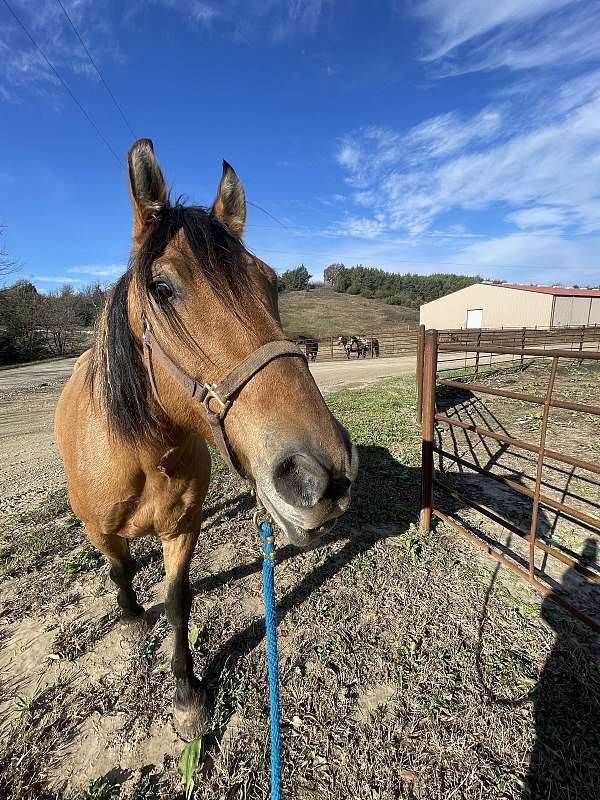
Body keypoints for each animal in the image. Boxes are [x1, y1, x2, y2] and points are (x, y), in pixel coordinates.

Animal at [54, 141, 356, 740]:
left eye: (269, 282)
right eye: (162, 288)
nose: (322, 474)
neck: (143, 454)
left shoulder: (183, 528)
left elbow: (177, 600)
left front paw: (186, 693)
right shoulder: (103, 531)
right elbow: (121, 570)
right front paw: (130, 619)